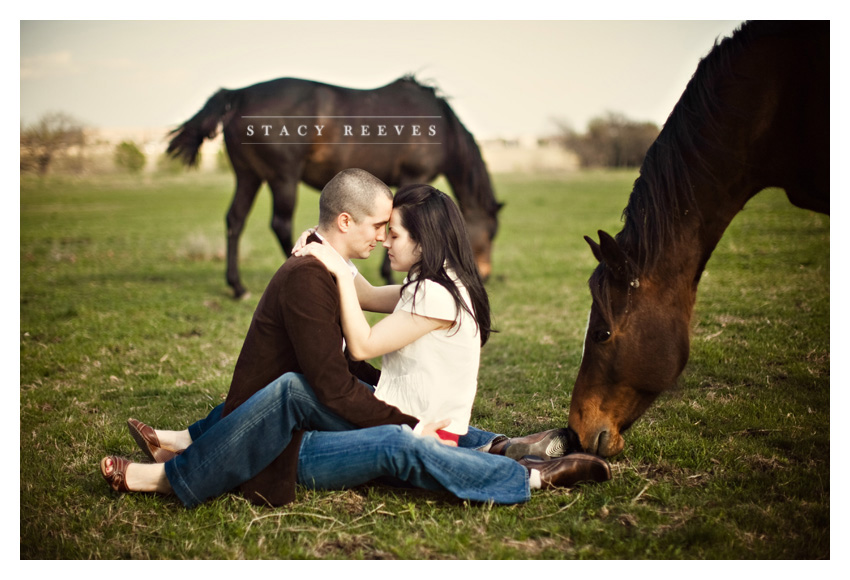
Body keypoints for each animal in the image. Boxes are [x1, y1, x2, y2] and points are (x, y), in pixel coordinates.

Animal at [163, 74, 500, 296]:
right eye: (492, 232)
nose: (486, 274)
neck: (441, 126)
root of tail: (240, 94)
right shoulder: (412, 177)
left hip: (248, 176)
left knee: (235, 220)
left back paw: (237, 286)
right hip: (283, 178)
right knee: (280, 223)